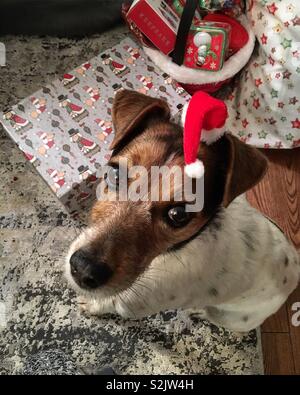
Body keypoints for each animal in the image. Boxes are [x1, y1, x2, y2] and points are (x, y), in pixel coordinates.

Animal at [65, 90, 300, 334]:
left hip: (234, 317)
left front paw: (92, 304)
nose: (83, 268)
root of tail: (295, 267)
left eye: (178, 214)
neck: (170, 253)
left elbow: (110, 302)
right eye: (115, 174)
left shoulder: (132, 303)